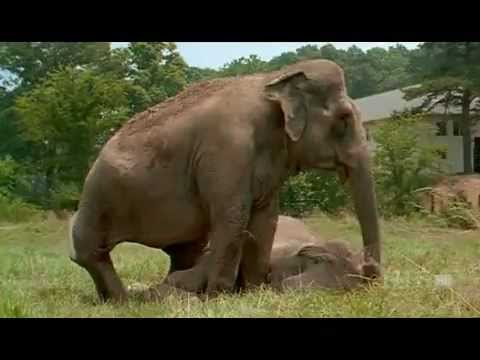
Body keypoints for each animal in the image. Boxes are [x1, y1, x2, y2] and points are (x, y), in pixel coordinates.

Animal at [68, 59, 382, 304]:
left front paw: (254, 293)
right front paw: (219, 298)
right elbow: (232, 217)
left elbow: (266, 218)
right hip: (98, 194)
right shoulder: (227, 149)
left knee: (184, 249)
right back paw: (123, 300)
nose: (367, 266)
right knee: (90, 251)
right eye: (343, 120)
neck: (275, 78)